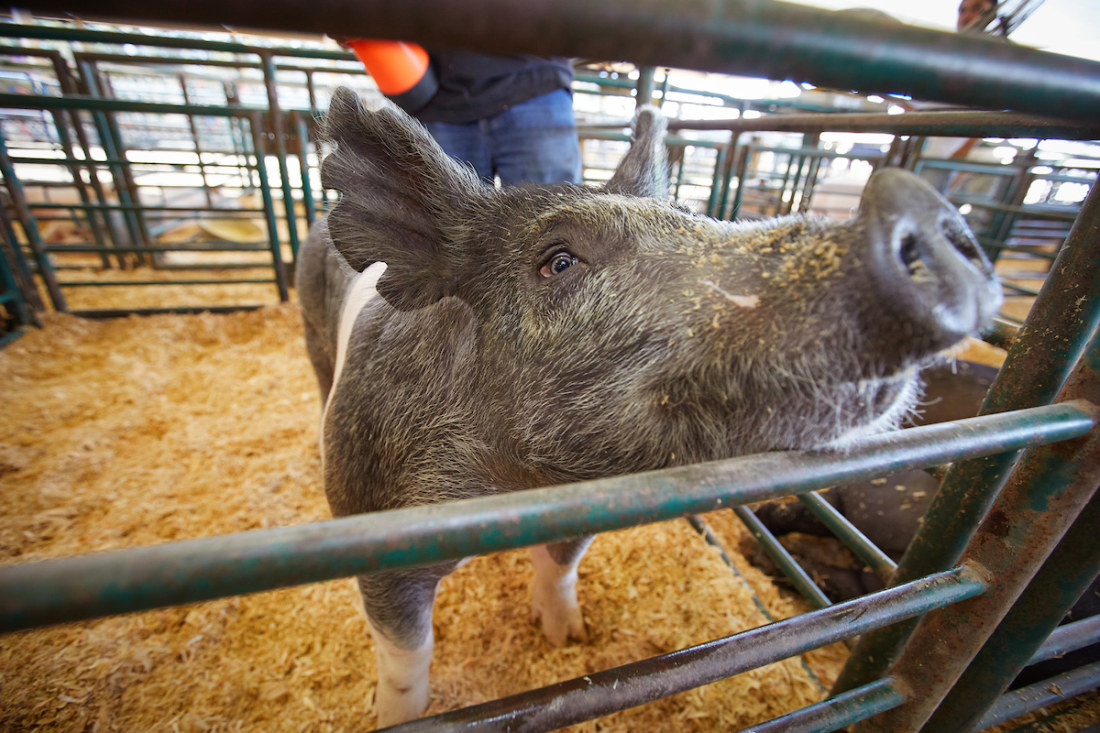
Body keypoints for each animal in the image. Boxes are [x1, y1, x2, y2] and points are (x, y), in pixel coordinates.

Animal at [296, 86, 1002, 725]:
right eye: (558, 262)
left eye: (693, 217)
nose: (915, 203)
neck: (512, 489)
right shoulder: (372, 533)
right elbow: (407, 651)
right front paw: (395, 718)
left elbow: (560, 571)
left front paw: (570, 638)